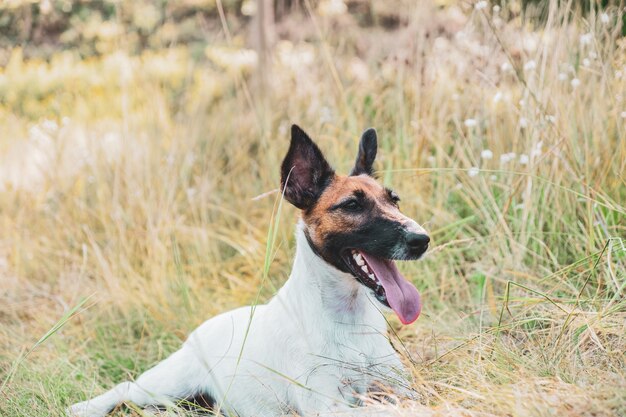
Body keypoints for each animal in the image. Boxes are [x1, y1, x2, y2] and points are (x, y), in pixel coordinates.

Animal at [68, 125, 428, 414]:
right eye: (352, 205)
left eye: (394, 200)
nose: (421, 240)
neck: (349, 321)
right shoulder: (327, 405)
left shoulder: (404, 388)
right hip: (165, 382)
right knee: (126, 388)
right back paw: (85, 407)